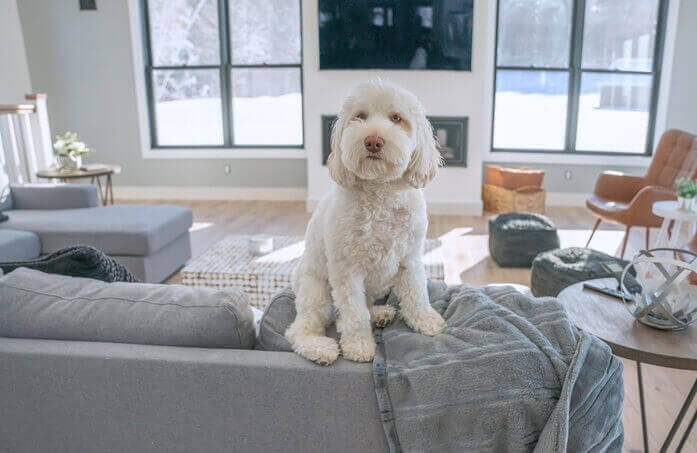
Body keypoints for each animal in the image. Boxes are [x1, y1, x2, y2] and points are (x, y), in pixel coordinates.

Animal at [284, 80, 444, 364]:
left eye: (396, 118)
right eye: (360, 116)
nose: (372, 141)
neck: (380, 193)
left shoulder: (410, 259)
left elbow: (417, 293)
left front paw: (425, 321)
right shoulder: (347, 272)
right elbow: (354, 314)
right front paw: (358, 346)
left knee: (360, 310)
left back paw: (379, 314)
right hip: (317, 291)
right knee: (300, 330)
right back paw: (320, 347)